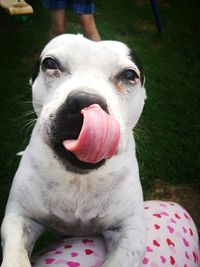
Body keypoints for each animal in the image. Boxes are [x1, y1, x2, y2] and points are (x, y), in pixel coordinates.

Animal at [0, 34, 146, 266]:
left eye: (129, 75)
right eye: (49, 63)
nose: (85, 100)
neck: (78, 180)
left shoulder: (131, 231)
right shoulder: (20, 217)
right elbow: (16, 257)